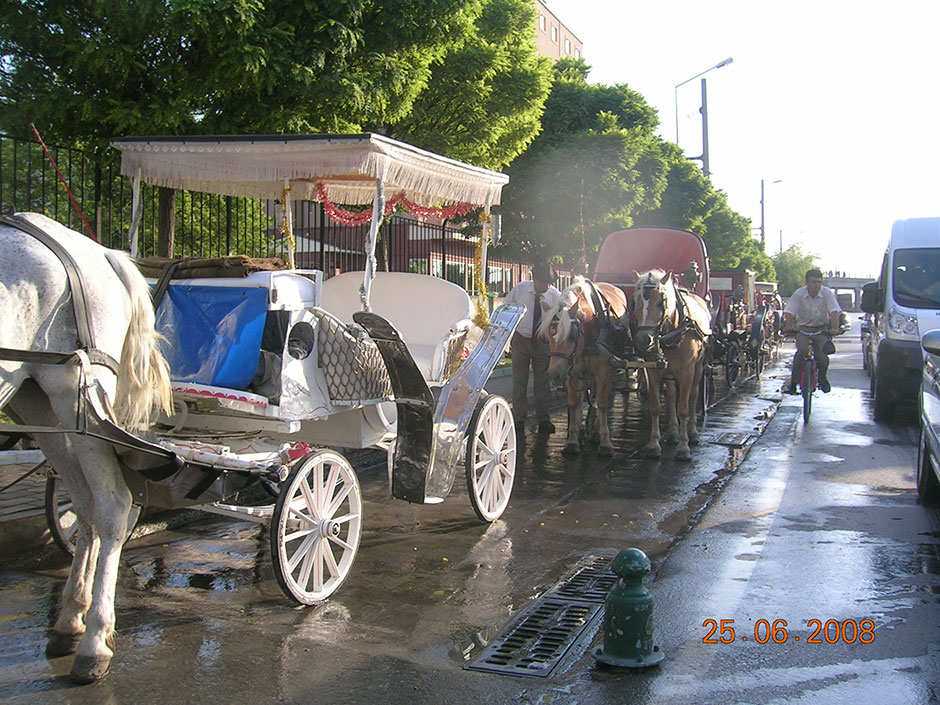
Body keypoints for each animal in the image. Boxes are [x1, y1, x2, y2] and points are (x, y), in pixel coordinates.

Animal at [0, 213, 173, 680]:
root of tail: (103, 253)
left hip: (75, 393)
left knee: (111, 505)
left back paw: (93, 643)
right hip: (41, 404)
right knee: (87, 504)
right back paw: (70, 621)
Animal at [540, 278, 628, 454]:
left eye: (571, 336)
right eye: (548, 336)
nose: (554, 374)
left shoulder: (604, 372)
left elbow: (602, 403)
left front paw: (605, 441)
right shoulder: (574, 371)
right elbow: (574, 403)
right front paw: (572, 440)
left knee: (601, 399)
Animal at [632, 266, 712, 460]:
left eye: (661, 302)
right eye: (635, 302)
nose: (643, 340)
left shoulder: (687, 372)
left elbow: (683, 408)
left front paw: (684, 448)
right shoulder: (652, 372)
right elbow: (656, 406)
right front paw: (654, 444)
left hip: (698, 368)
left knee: (693, 396)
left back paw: (692, 432)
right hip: (668, 372)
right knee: (670, 395)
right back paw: (673, 433)